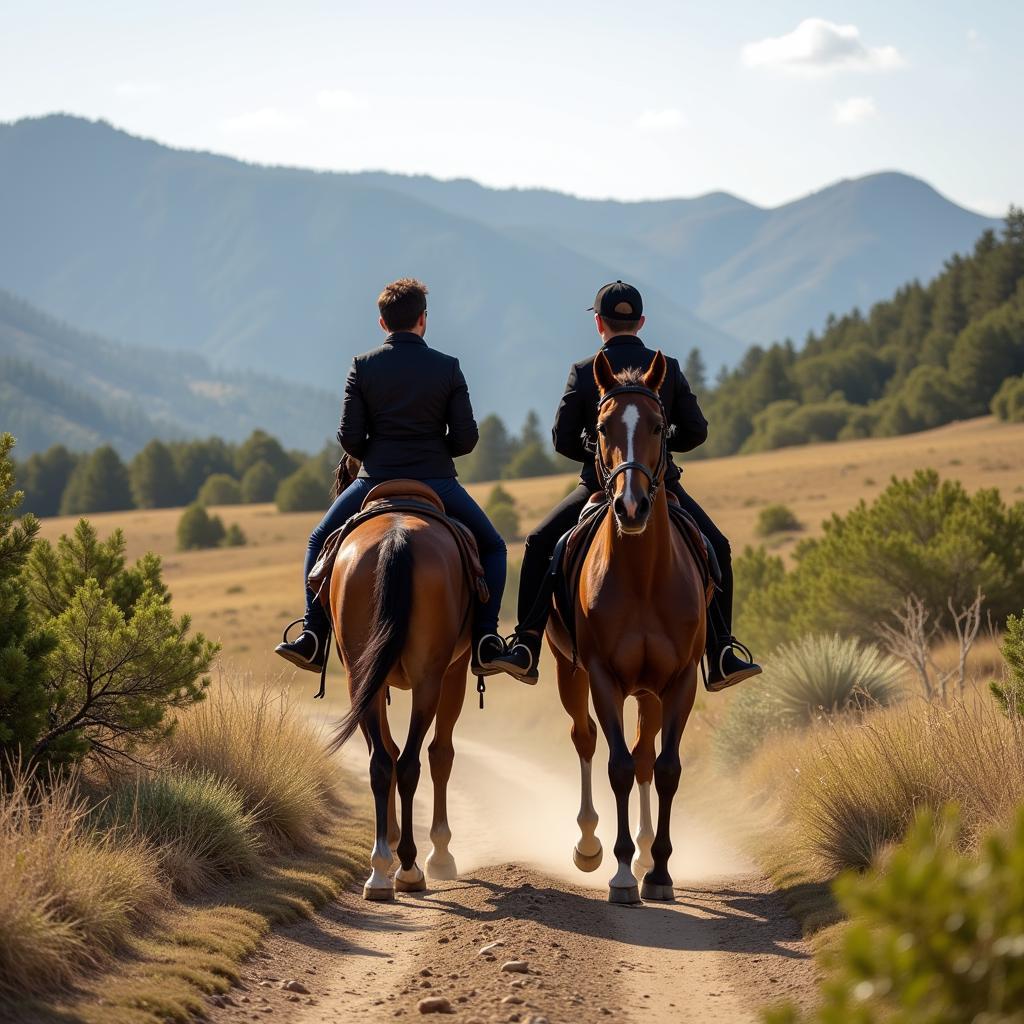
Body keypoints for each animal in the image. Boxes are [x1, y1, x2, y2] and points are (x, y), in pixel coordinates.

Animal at [327, 507, 471, 901]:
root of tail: (396, 537)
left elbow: (387, 752)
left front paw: (390, 840)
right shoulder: (456, 670)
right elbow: (440, 754)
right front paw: (441, 852)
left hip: (361, 676)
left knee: (382, 762)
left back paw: (379, 871)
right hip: (428, 680)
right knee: (411, 762)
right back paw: (409, 868)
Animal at [548, 350, 708, 905]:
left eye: (660, 426)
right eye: (601, 427)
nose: (632, 507)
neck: (642, 575)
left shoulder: (679, 680)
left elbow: (665, 769)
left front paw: (658, 870)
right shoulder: (603, 677)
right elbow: (616, 764)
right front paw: (620, 872)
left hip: (651, 692)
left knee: (644, 757)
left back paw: (642, 851)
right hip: (570, 673)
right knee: (585, 738)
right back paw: (589, 844)